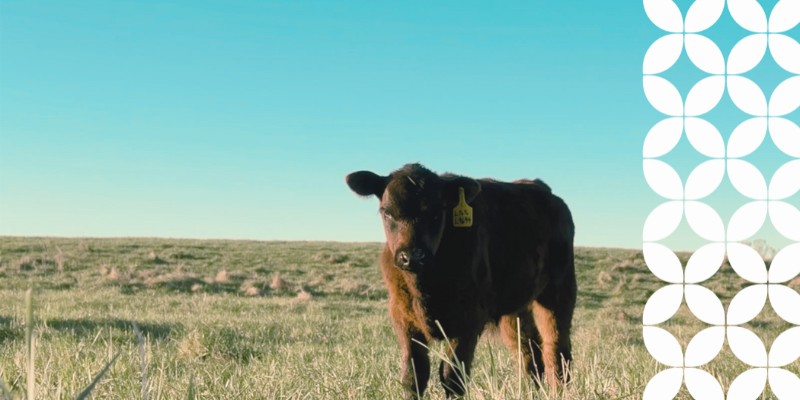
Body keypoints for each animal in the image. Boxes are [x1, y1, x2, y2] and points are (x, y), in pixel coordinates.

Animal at [345, 163, 577, 399]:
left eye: (437, 213)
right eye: (387, 212)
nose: (412, 256)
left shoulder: (469, 320)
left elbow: (452, 376)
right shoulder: (403, 317)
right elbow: (413, 375)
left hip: (559, 289)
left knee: (556, 346)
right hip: (515, 307)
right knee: (528, 347)